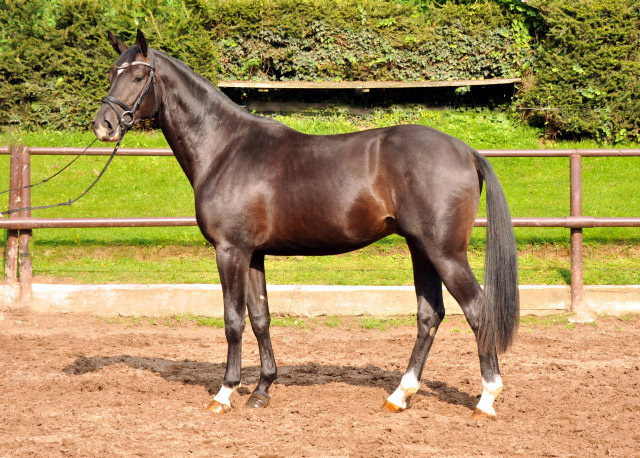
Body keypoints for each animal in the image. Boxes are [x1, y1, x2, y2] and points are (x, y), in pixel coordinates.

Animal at [91, 30, 520, 420]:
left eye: (137, 76)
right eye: (112, 72)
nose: (104, 125)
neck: (226, 148)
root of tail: (465, 151)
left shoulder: (230, 250)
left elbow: (233, 320)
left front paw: (225, 393)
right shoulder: (253, 254)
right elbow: (260, 317)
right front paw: (262, 389)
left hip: (445, 253)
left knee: (477, 311)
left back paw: (486, 399)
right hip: (421, 249)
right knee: (429, 316)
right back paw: (400, 395)